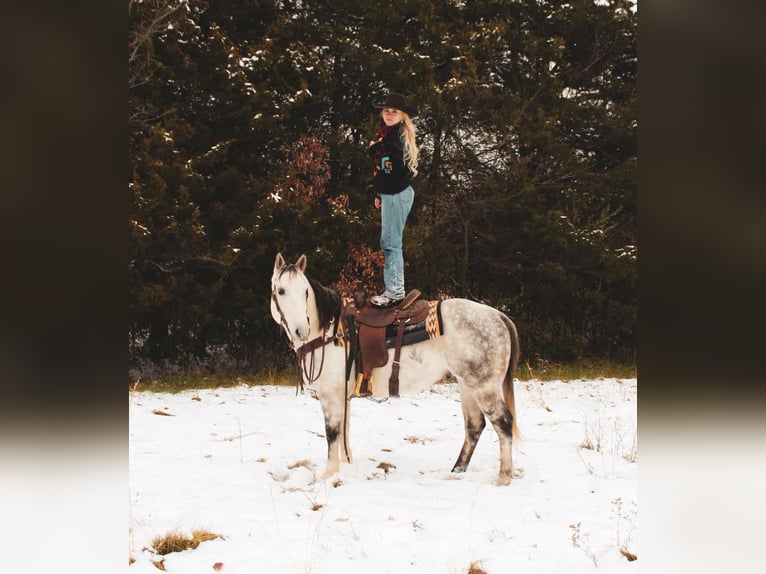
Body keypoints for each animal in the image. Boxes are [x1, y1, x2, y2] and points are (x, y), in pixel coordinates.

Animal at [270, 255, 520, 486]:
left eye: (305, 292)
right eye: (281, 291)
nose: (301, 330)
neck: (330, 330)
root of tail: (498, 316)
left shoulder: (331, 394)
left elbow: (332, 433)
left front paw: (327, 475)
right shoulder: (343, 396)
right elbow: (344, 432)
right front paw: (346, 467)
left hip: (484, 386)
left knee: (503, 423)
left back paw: (503, 477)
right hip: (467, 385)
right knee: (475, 426)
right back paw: (456, 471)